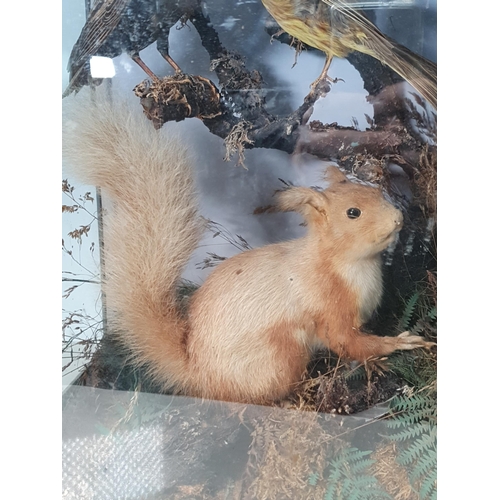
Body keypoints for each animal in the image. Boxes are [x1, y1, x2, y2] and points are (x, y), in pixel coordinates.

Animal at [63, 92, 434, 404]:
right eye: (352, 213)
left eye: (376, 192)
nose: (398, 219)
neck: (348, 264)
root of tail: (201, 376)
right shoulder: (329, 306)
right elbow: (349, 342)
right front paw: (398, 344)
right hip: (281, 354)